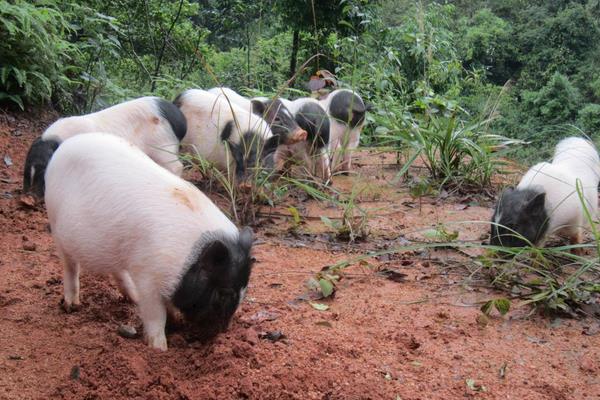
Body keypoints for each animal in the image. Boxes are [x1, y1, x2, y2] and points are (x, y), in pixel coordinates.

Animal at [22, 97, 188, 197]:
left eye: (43, 169)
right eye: (27, 166)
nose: (28, 196)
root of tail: (180, 120)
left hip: (164, 145)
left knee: (177, 166)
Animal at [45, 132, 253, 350]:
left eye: (244, 291)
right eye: (223, 293)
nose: (220, 333)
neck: (186, 259)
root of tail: (65, 145)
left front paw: (175, 323)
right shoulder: (147, 276)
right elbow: (155, 315)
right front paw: (159, 348)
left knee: (117, 270)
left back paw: (132, 297)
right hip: (56, 225)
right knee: (70, 266)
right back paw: (72, 305)